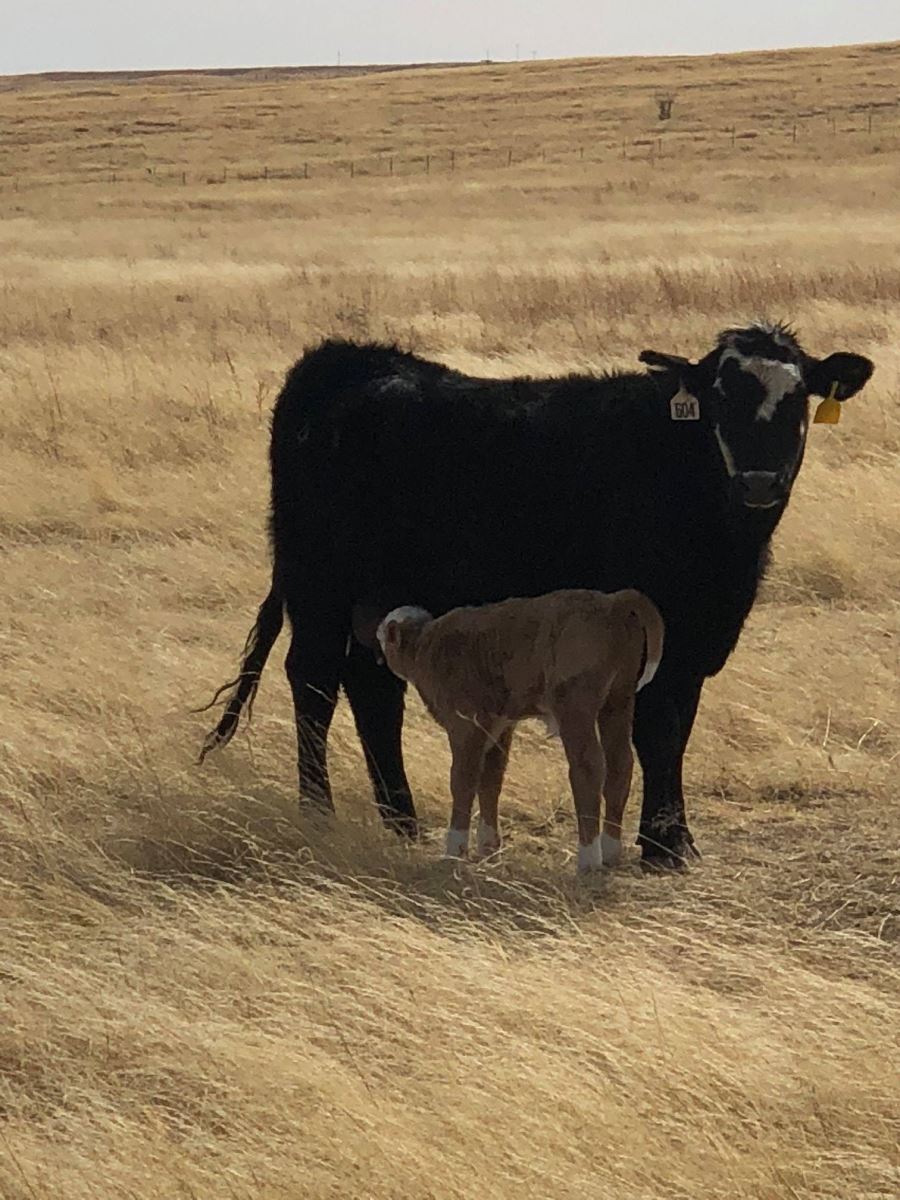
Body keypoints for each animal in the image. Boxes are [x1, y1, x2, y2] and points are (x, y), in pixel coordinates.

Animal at [376, 588, 667, 873]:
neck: (426, 647)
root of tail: (612, 601)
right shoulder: (500, 726)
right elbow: (491, 779)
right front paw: (488, 846)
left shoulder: (466, 724)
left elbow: (463, 781)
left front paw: (454, 852)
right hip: (618, 701)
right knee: (621, 765)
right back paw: (610, 853)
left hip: (574, 703)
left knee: (588, 768)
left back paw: (588, 860)